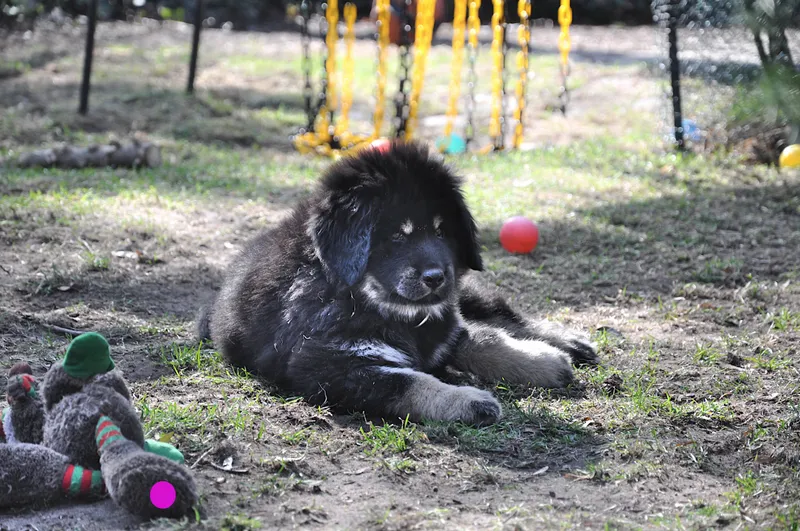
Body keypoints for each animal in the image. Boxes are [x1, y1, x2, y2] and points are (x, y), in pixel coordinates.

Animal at [197, 141, 598, 427]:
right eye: (396, 236)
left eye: (441, 232)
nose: (436, 277)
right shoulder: (330, 367)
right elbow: (409, 381)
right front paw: (469, 401)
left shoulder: (444, 323)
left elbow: (485, 340)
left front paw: (544, 360)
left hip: (465, 294)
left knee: (502, 313)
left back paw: (569, 342)